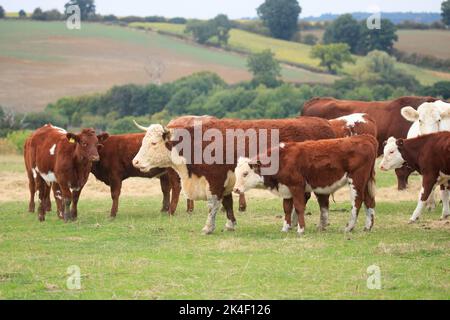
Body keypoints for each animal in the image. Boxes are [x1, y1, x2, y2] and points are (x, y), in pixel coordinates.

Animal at [132, 116, 336, 234]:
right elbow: (227, 202)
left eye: (153, 143)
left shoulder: (214, 179)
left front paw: (208, 227)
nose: (135, 162)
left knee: (321, 200)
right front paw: (230, 224)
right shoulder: (226, 181)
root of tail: (325, 123)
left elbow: (213, 204)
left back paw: (321, 223)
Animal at [234, 135, 378, 235]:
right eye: (236, 173)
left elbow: (299, 207)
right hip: (365, 182)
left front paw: (301, 229)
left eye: (245, 173)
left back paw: (349, 227)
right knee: (369, 201)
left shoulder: (297, 187)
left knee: (357, 202)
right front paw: (285, 228)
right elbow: (287, 208)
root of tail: (365, 137)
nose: (235, 189)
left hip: (356, 180)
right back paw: (367, 227)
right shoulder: (286, 189)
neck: (282, 159)